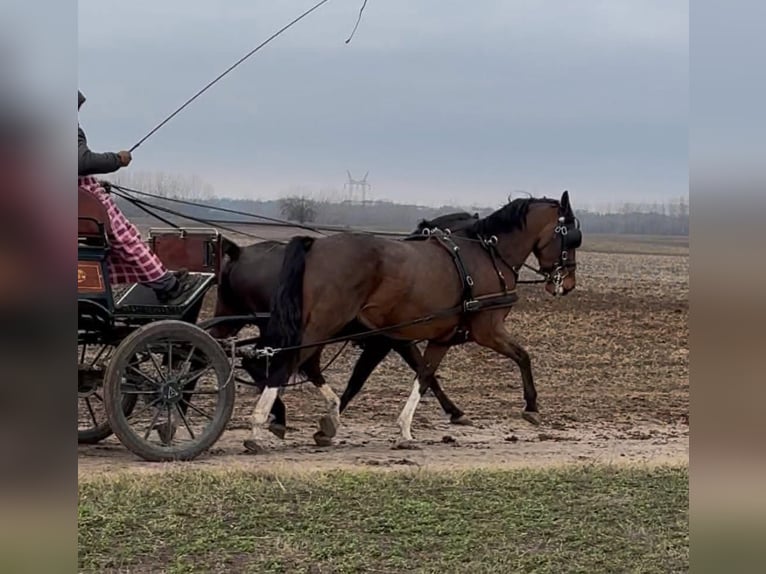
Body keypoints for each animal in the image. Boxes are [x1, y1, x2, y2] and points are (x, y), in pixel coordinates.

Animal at [210, 211, 482, 444]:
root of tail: (239, 253)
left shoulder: (385, 342)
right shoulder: (389, 342)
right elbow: (370, 378)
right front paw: (456, 412)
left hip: (241, 321)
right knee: (267, 362)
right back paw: (279, 414)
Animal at [244, 191, 582, 453]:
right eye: (572, 238)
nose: (567, 284)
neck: (488, 256)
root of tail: (315, 245)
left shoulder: (438, 337)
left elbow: (424, 375)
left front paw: (404, 429)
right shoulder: (488, 330)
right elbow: (523, 356)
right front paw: (532, 407)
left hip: (318, 326)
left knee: (297, 362)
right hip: (323, 324)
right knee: (285, 363)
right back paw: (259, 426)